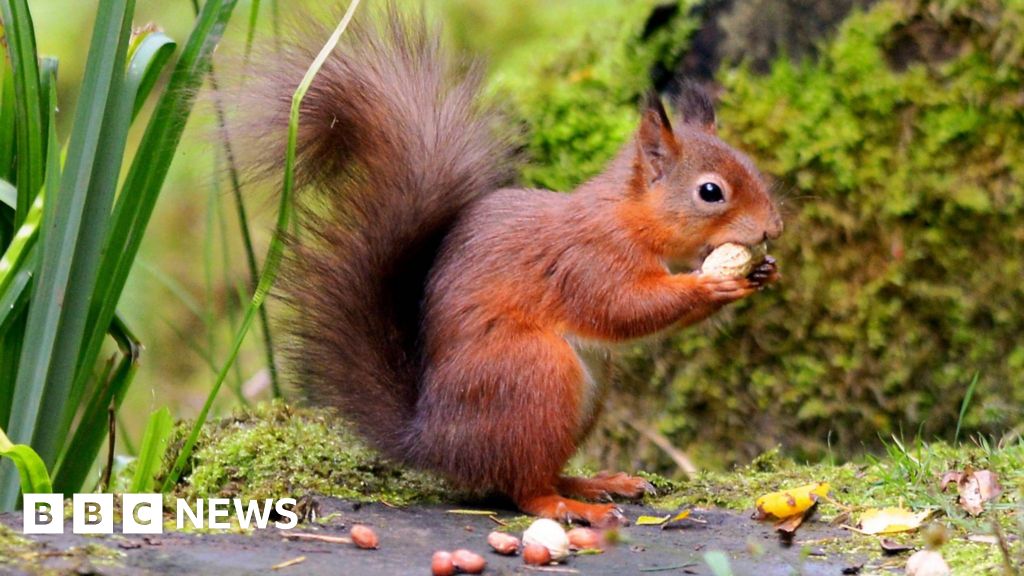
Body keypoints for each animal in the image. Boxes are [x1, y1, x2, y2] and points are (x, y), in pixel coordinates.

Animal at [237, 6, 782, 524]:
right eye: (710, 192)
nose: (773, 228)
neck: (627, 218)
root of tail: (436, 441)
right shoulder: (588, 261)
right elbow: (624, 308)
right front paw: (708, 286)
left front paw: (762, 272)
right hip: (533, 374)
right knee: (524, 488)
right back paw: (571, 507)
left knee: (535, 473)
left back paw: (594, 482)